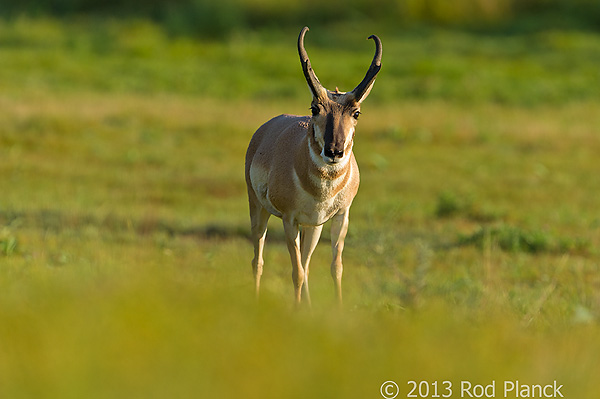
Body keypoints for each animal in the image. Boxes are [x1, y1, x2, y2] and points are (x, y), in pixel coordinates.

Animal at [245, 26, 382, 304]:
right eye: (315, 108)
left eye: (356, 112)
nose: (334, 151)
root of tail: (266, 128)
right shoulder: (290, 220)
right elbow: (295, 272)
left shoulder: (340, 216)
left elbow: (335, 268)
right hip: (259, 209)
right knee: (258, 260)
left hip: (313, 227)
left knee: (306, 264)